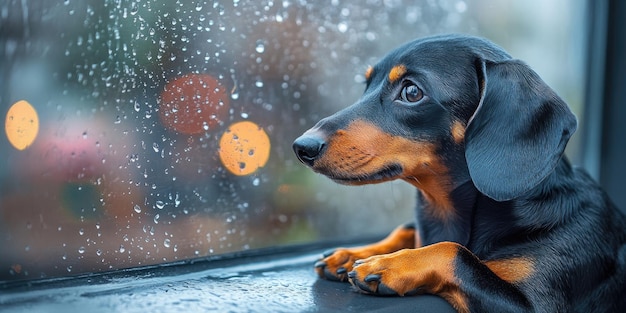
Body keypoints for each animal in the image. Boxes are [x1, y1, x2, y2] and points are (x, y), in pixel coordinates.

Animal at [292, 33, 624, 310]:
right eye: (366, 85)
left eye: (412, 92)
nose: (302, 147)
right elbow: (408, 229)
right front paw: (354, 253)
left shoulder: (534, 305)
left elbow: (453, 251)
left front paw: (388, 265)